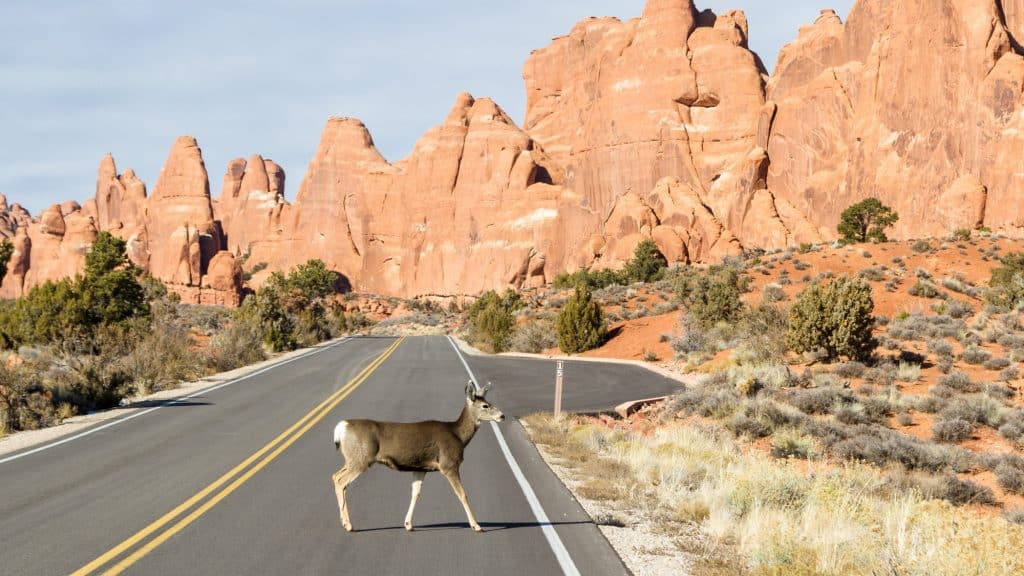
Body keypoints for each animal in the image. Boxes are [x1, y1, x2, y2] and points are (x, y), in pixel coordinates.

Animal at [331, 380, 505, 533]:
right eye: (485, 405)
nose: (502, 416)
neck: (458, 436)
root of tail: (341, 427)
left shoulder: (421, 467)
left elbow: (416, 493)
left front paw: (408, 524)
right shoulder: (449, 465)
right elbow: (462, 493)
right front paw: (477, 526)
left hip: (352, 459)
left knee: (335, 475)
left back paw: (343, 521)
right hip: (362, 458)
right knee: (341, 481)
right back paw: (348, 525)